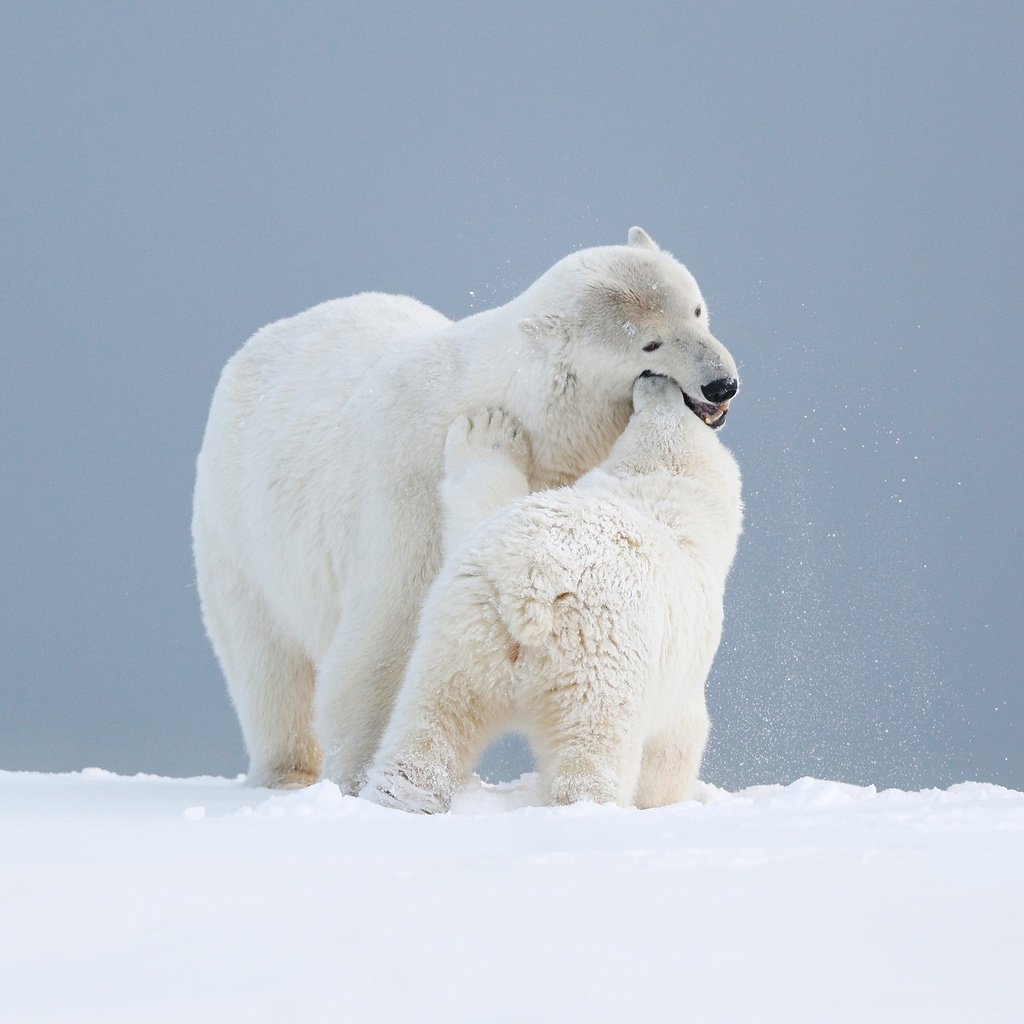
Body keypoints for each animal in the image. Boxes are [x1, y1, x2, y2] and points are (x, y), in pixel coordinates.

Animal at [362, 372, 745, 811]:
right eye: (677, 406)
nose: (654, 377)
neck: (653, 492)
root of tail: (533, 584)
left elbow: (478, 507)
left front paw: (486, 431)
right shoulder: (683, 666)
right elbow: (676, 743)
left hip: (463, 633)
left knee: (430, 729)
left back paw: (399, 798)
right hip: (599, 661)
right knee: (590, 752)